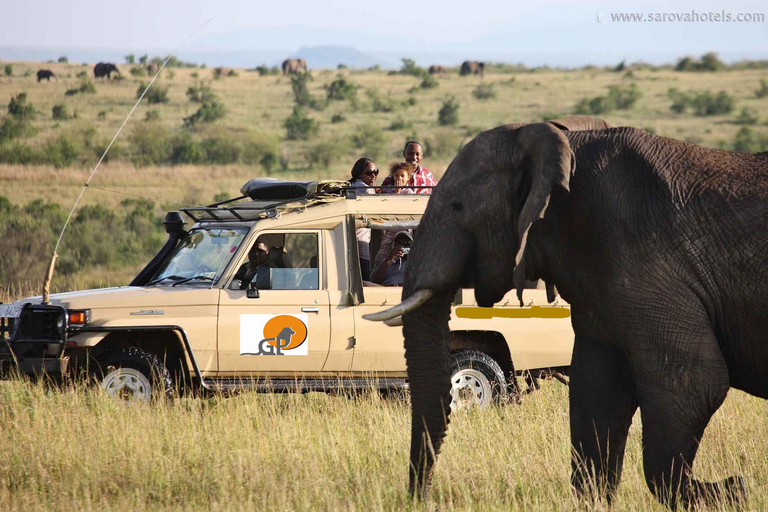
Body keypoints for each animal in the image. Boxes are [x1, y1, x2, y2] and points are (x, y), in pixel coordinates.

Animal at [368, 117, 768, 508]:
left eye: (457, 206)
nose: (420, 497)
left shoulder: (647, 260)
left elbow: (694, 383)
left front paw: (731, 492)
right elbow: (596, 391)